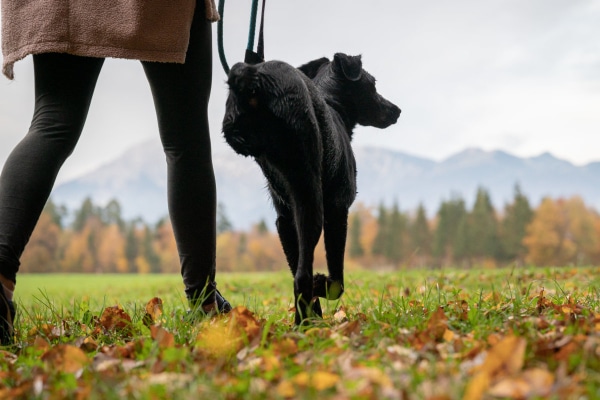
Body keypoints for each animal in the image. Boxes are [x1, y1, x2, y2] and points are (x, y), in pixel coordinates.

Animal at [223, 53, 400, 324]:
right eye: (372, 84)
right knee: (303, 276)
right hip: (310, 199)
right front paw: (321, 285)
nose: (396, 110)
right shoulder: (338, 209)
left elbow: (296, 267)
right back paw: (305, 323)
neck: (332, 105)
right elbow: (335, 280)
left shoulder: (284, 220)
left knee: (299, 275)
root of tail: (254, 79)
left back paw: (305, 321)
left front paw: (313, 313)